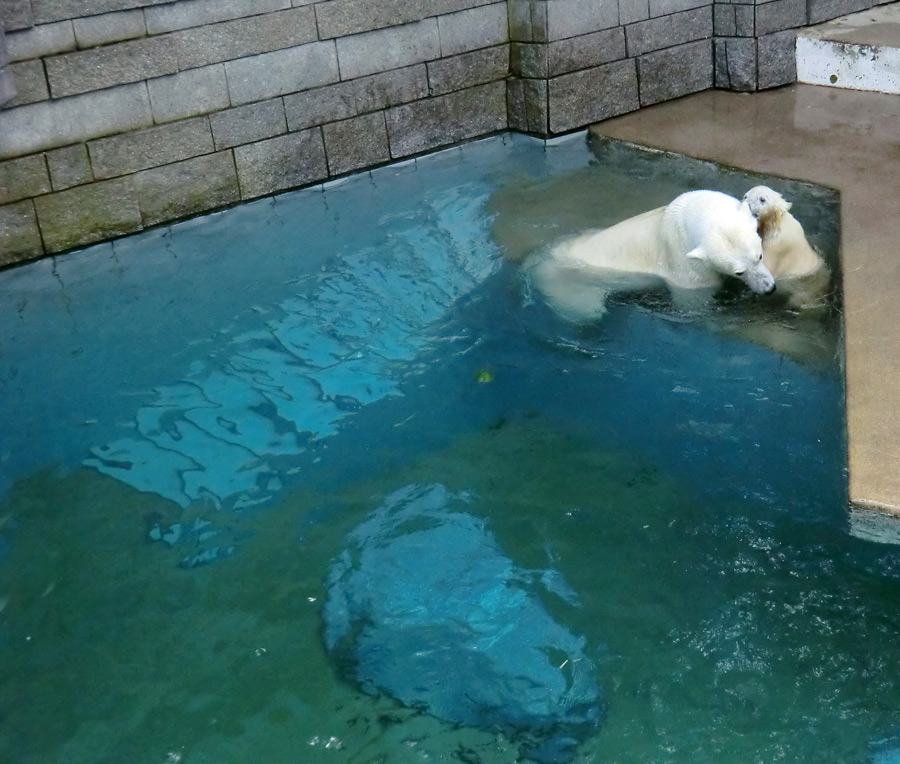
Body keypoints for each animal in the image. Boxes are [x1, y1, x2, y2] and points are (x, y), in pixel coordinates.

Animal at [528, 192, 772, 324]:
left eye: (759, 255)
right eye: (739, 271)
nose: (769, 288)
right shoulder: (686, 265)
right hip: (566, 283)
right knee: (585, 311)